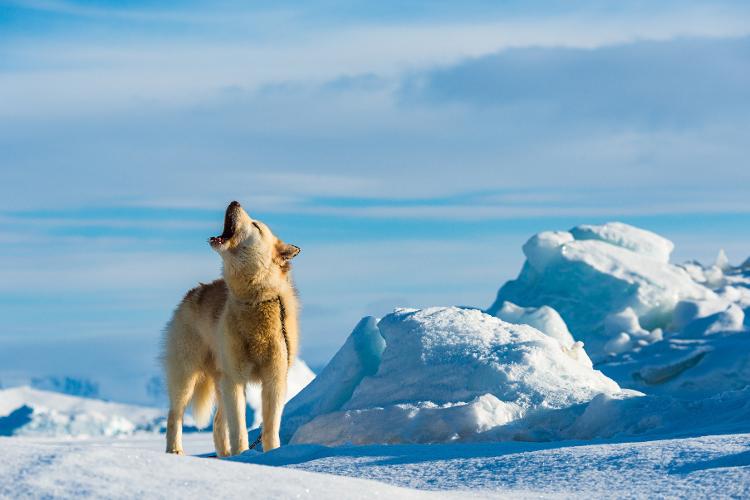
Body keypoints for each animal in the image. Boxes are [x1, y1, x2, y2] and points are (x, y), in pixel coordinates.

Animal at [163, 201, 302, 456]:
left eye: (256, 226)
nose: (234, 202)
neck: (254, 301)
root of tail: (192, 293)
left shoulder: (275, 379)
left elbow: (270, 428)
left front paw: (271, 456)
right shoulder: (236, 379)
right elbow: (239, 428)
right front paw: (243, 455)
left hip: (221, 382)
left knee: (219, 423)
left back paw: (224, 457)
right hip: (187, 378)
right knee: (175, 416)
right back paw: (175, 452)